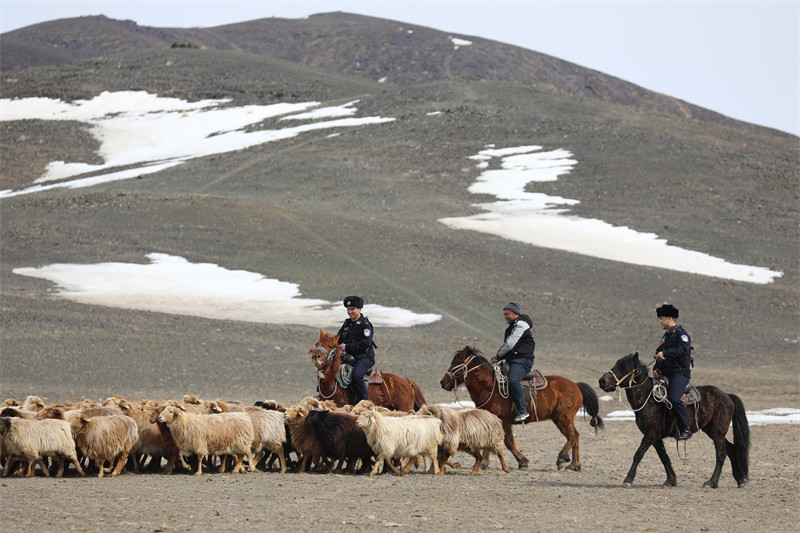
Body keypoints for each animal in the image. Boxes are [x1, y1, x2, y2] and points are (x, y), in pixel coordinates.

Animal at [440, 342, 604, 468]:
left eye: (456, 362)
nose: (442, 382)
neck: (491, 386)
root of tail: (576, 385)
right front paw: (485, 463)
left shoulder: (504, 421)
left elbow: (509, 442)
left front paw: (523, 461)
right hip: (559, 419)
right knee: (573, 436)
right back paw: (574, 464)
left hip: (564, 417)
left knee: (573, 435)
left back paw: (563, 458)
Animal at [600, 352, 752, 488]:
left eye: (624, 368)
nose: (602, 381)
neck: (648, 398)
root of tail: (727, 395)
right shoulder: (655, 437)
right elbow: (664, 457)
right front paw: (671, 480)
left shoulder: (650, 434)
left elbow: (638, 454)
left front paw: (628, 479)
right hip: (712, 430)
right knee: (731, 449)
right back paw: (740, 480)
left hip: (717, 433)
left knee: (721, 454)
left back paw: (711, 482)